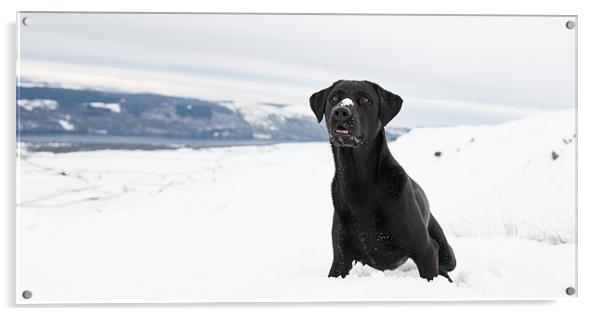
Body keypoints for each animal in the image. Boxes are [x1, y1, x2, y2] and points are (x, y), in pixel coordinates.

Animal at [310, 79, 454, 282]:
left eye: (365, 99)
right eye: (334, 98)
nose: (341, 111)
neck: (359, 183)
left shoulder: (425, 250)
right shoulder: (341, 257)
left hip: (446, 253)